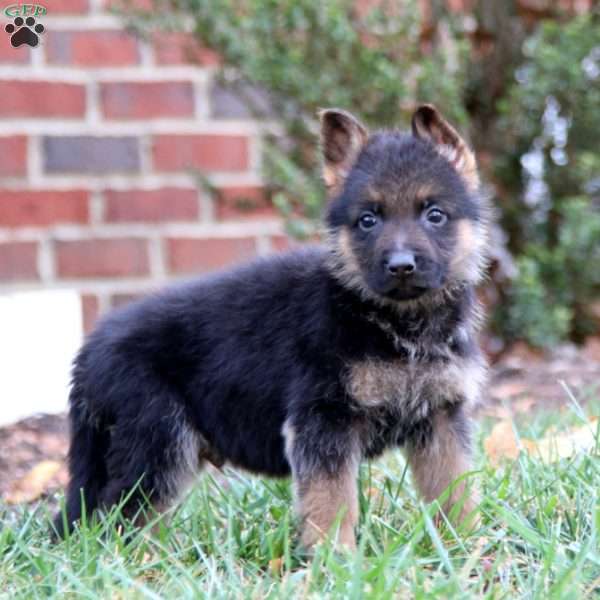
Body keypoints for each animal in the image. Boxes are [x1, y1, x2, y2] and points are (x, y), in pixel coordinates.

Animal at [54, 104, 490, 548]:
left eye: (434, 215)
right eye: (368, 220)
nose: (401, 266)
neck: (396, 322)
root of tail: (88, 352)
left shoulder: (441, 420)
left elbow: (455, 489)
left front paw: (466, 545)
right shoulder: (323, 420)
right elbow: (332, 500)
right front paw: (334, 556)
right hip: (156, 445)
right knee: (116, 520)